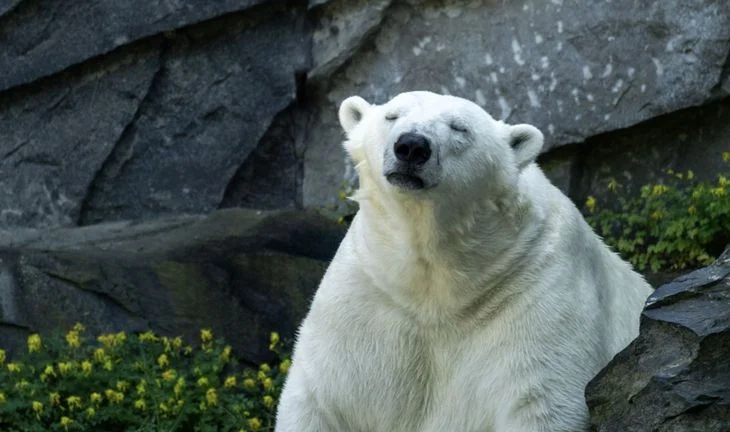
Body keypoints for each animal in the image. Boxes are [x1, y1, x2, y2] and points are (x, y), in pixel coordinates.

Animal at [275, 91, 653, 432]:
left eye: (460, 128)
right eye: (392, 116)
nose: (412, 146)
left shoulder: (537, 287)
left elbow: (540, 399)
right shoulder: (366, 298)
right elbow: (323, 396)